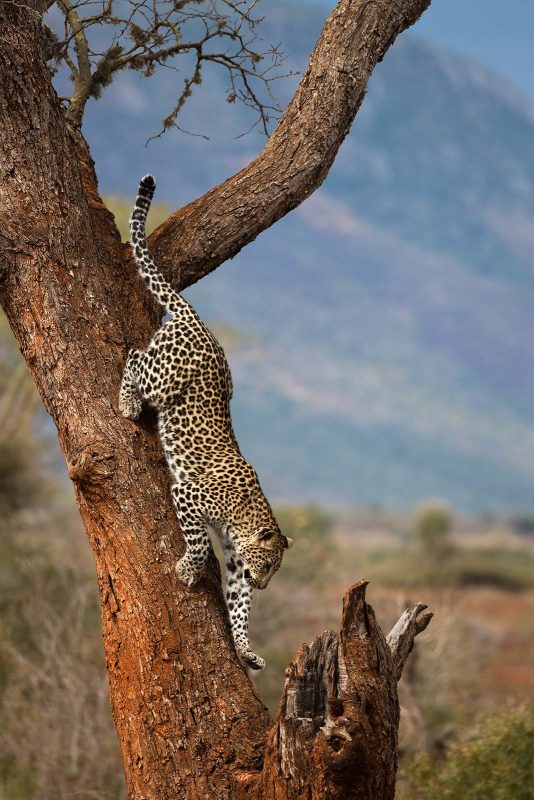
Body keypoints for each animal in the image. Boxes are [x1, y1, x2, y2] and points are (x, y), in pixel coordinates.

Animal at [118, 178, 294, 672]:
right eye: (269, 566)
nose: (264, 584)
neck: (247, 517)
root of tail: (198, 321)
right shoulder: (188, 496)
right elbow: (197, 543)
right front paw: (186, 569)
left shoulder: (235, 562)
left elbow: (239, 606)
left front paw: (246, 650)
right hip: (163, 378)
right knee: (133, 356)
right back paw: (126, 403)